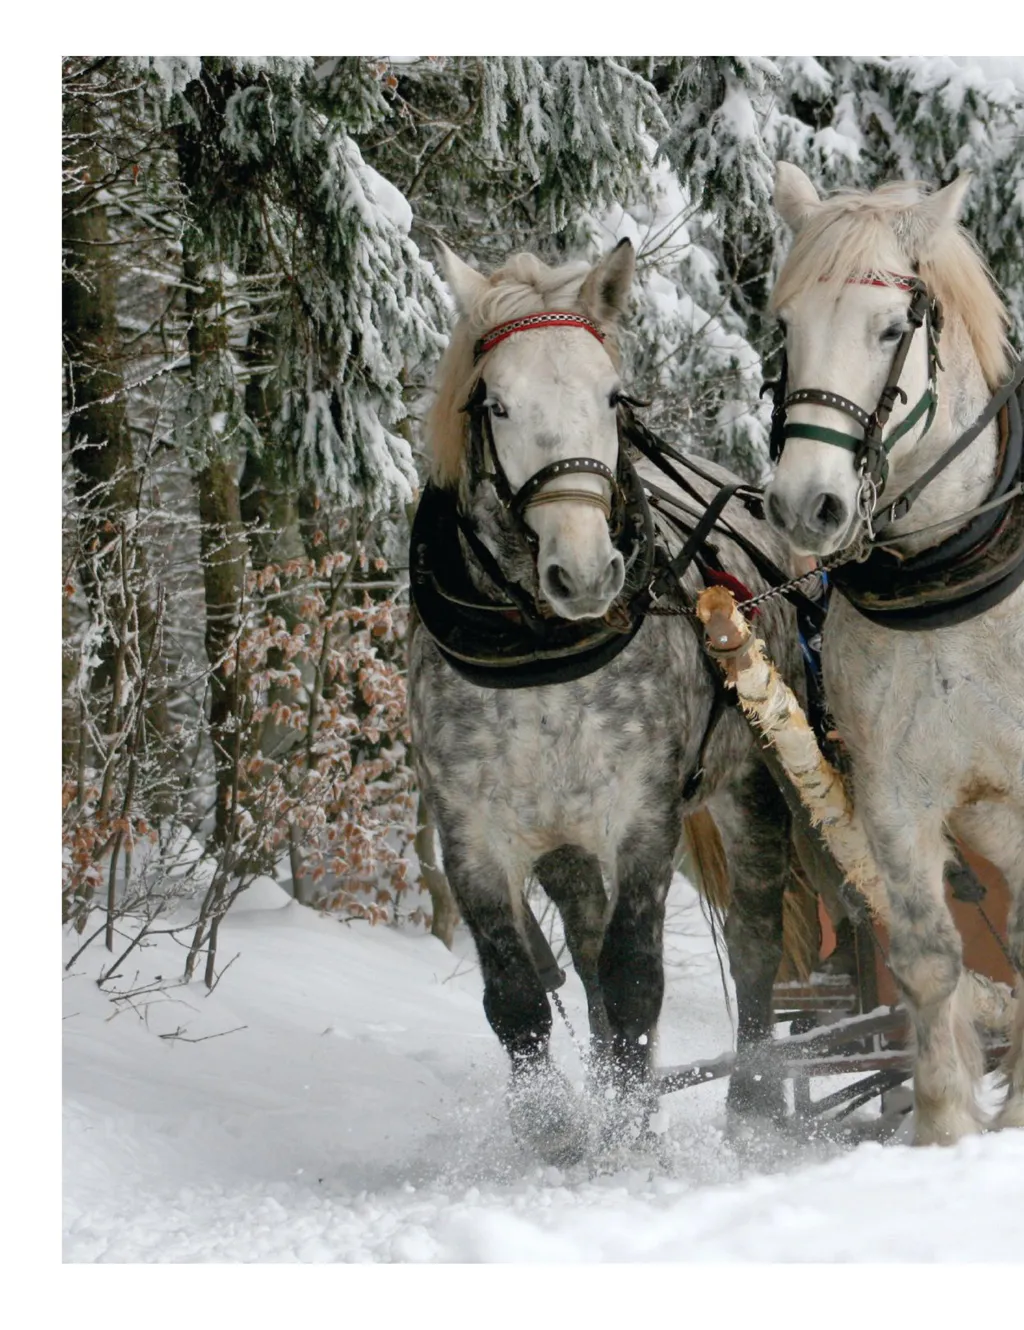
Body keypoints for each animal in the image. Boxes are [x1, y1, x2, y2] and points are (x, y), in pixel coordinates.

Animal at [407, 238, 809, 1165]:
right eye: (497, 404)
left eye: (612, 397)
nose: (586, 572)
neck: (538, 653)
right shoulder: (472, 833)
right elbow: (517, 993)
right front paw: (557, 1126)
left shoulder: (643, 816)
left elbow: (635, 979)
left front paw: (632, 1135)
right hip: (562, 840)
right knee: (584, 951)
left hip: (753, 786)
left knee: (755, 937)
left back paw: (753, 1103)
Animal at [762, 162, 1024, 1144]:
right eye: (787, 328)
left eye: (888, 328)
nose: (806, 504)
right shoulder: (894, 795)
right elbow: (929, 957)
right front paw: (947, 1127)